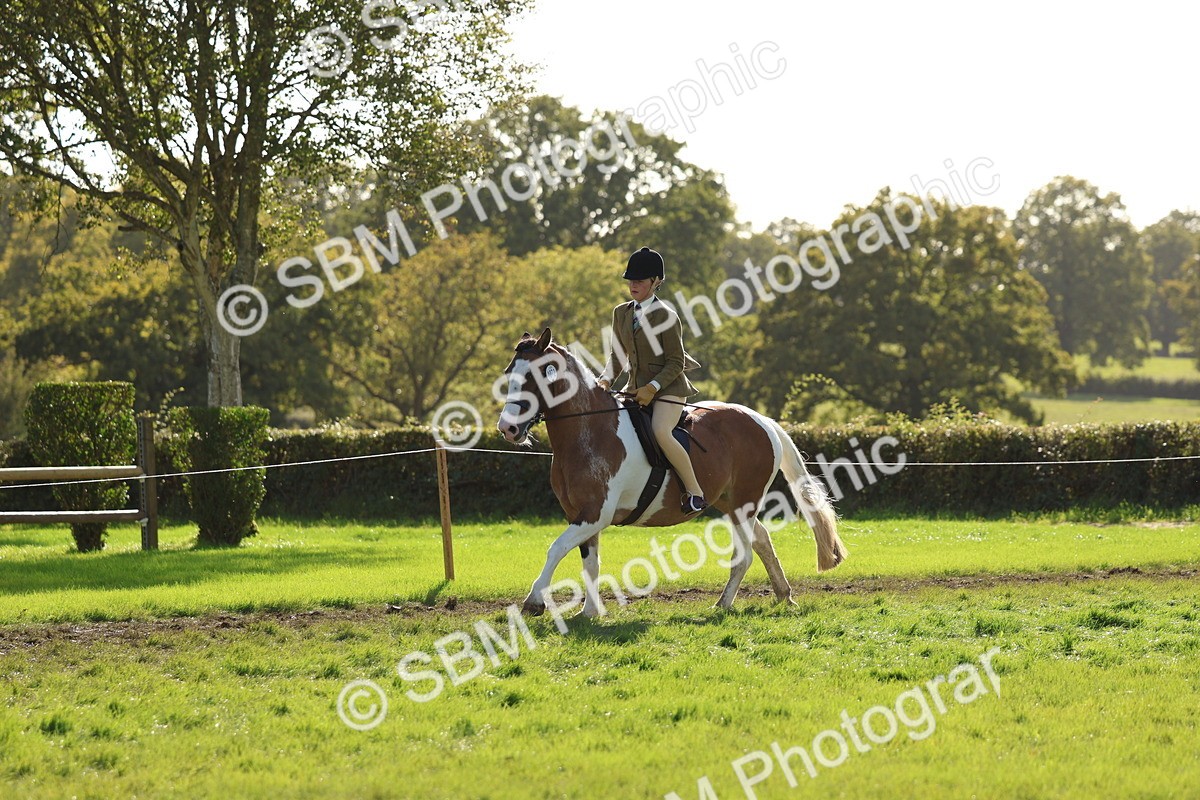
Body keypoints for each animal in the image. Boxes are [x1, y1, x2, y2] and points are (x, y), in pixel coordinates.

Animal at [496, 328, 848, 617]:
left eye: (536, 376)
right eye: (510, 373)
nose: (507, 429)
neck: (589, 430)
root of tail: (763, 421)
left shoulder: (595, 514)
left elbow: (556, 548)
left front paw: (534, 602)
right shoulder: (581, 515)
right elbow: (590, 561)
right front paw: (590, 613)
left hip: (744, 503)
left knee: (745, 554)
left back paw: (723, 605)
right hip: (729, 502)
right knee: (761, 541)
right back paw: (783, 595)